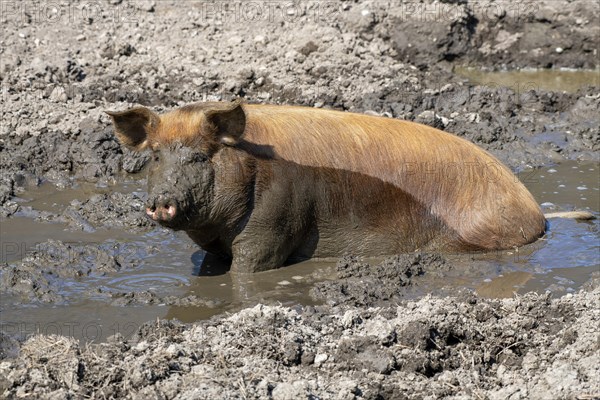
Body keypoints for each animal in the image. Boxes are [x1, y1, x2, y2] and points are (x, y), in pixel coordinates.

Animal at [105, 101, 548, 274]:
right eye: (156, 156)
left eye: (200, 156)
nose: (161, 202)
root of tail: (536, 215)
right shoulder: (215, 247)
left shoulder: (275, 222)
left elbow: (251, 265)